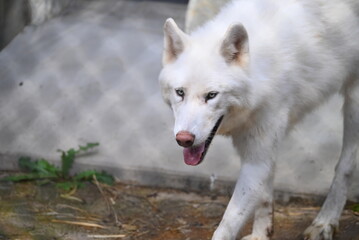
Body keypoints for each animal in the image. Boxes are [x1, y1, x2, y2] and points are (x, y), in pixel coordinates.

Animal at [160, 0, 359, 239]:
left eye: (211, 95)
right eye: (180, 92)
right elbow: (264, 195)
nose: (184, 139)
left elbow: (227, 225)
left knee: (346, 166)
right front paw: (261, 234)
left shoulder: (258, 156)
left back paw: (325, 223)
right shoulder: (263, 150)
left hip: (355, 102)